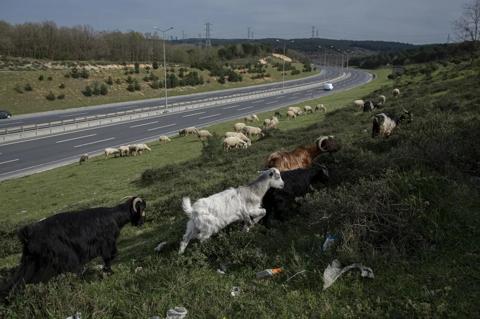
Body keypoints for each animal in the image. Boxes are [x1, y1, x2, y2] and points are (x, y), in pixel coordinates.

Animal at [0, 196, 146, 302]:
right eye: (142, 209)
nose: (141, 222)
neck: (114, 216)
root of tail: (28, 234)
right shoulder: (107, 244)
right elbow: (109, 258)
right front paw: (108, 272)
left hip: (31, 262)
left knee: (20, 280)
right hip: (61, 258)